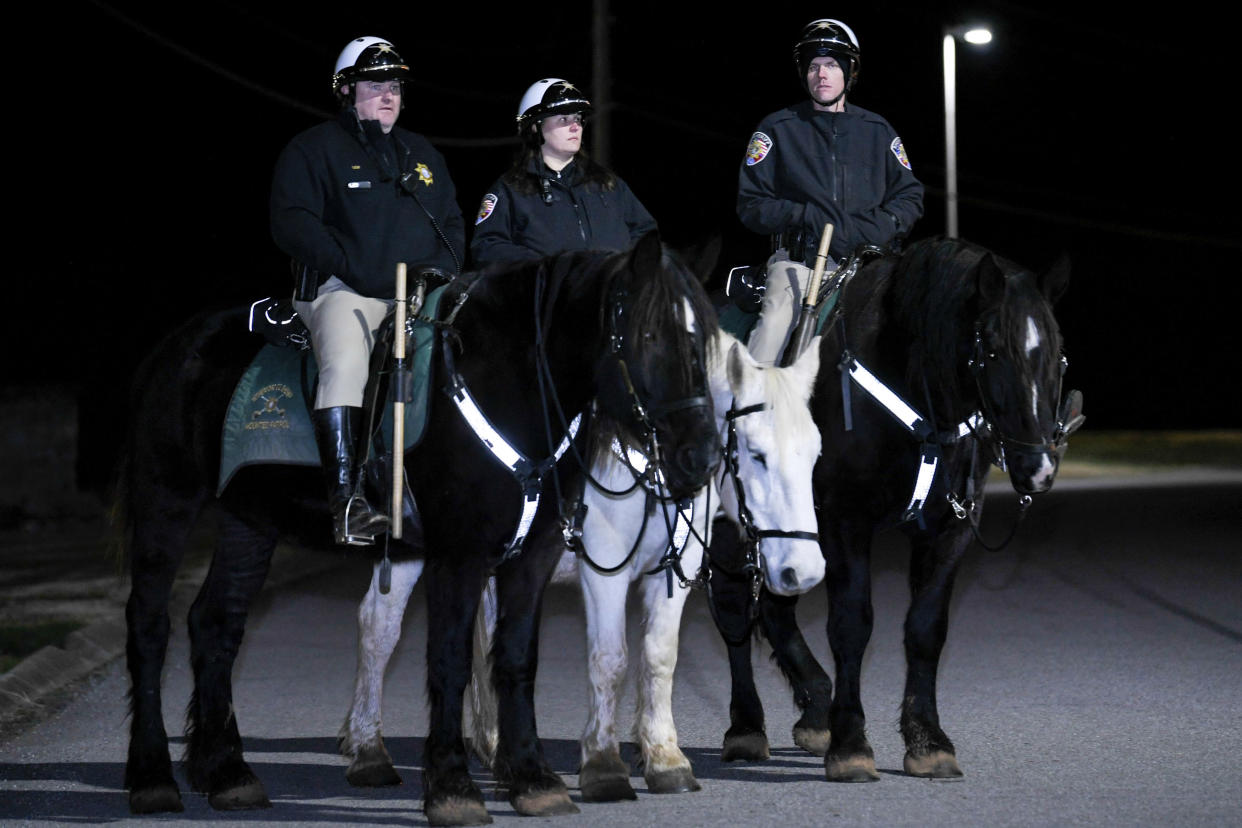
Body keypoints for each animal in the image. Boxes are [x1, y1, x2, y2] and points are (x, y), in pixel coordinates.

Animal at [118, 232, 720, 824]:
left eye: (704, 341)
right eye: (648, 334)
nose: (702, 456)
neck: (507, 381)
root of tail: (177, 346)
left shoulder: (532, 557)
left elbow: (516, 660)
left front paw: (533, 780)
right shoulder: (460, 555)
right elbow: (451, 663)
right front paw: (453, 788)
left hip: (249, 521)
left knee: (216, 623)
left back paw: (225, 772)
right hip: (164, 504)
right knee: (150, 625)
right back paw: (152, 778)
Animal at [340, 330, 824, 804]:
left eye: (816, 454)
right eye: (756, 454)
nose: (804, 570)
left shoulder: (673, 569)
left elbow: (659, 656)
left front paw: (665, 758)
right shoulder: (604, 568)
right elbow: (610, 660)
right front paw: (603, 765)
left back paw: (497, 752)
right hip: (413, 551)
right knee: (378, 628)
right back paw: (368, 750)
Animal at [710, 234, 1078, 784]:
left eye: (1056, 356)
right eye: (992, 351)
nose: (1038, 468)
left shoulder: (949, 529)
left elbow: (925, 629)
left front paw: (928, 741)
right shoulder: (844, 521)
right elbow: (851, 625)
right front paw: (850, 745)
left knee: (775, 608)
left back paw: (815, 708)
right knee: (735, 610)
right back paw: (747, 728)